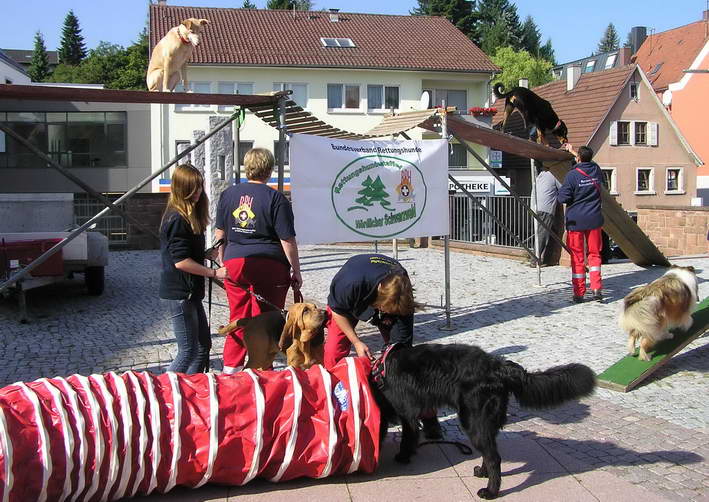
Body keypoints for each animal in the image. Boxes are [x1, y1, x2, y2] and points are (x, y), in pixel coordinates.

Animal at [374, 344, 596, 500]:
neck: (379, 375)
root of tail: (500, 367)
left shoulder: (407, 413)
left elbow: (407, 438)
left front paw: (402, 457)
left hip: (473, 420)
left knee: (494, 457)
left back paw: (491, 492)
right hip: (485, 422)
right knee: (489, 453)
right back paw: (482, 472)